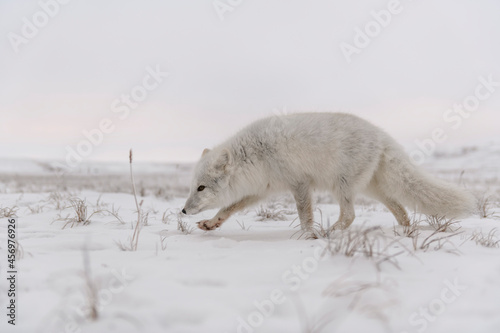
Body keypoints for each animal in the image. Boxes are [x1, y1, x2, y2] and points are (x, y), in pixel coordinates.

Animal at [183, 113, 476, 232]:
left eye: (201, 187)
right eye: (192, 186)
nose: (183, 211)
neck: (255, 155)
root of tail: (381, 134)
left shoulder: (299, 183)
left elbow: (304, 215)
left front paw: (308, 235)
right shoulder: (260, 190)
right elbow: (227, 209)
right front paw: (211, 224)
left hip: (342, 185)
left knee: (350, 215)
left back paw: (331, 232)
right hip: (372, 189)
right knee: (400, 209)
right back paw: (406, 231)